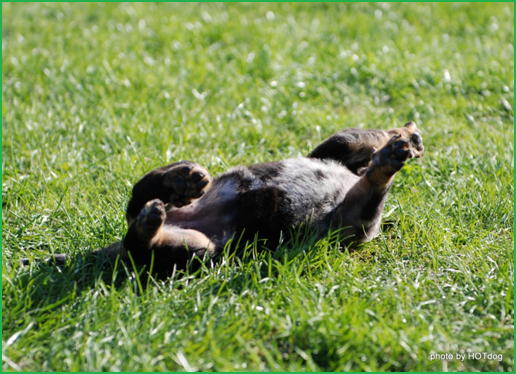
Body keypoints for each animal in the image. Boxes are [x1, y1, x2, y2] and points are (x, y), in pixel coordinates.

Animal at [21, 121, 424, 274]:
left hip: (195, 248)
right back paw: (180, 181)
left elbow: (375, 173)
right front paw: (403, 139)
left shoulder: (354, 215)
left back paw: (158, 212)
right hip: (185, 239)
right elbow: (372, 139)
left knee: (140, 231)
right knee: (140, 197)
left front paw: (397, 150)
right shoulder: (343, 154)